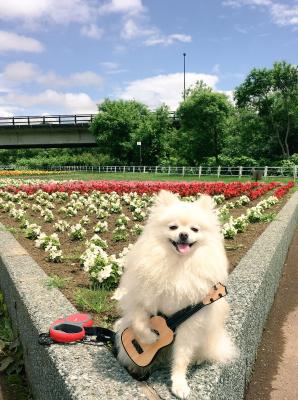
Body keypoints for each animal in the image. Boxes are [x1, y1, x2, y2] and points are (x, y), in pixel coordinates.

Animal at [114, 190, 237, 396]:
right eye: (173, 227)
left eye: (195, 229)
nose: (184, 234)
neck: (178, 263)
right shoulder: (141, 300)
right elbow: (139, 324)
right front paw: (149, 338)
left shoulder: (190, 323)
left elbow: (182, 356)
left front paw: (179, 384)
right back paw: (139, 367)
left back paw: (198, 358)